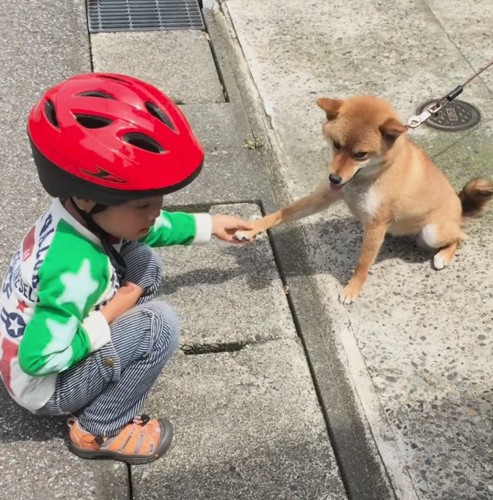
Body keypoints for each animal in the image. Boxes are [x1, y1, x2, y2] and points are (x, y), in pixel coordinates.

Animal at [235, 95, 492, 302]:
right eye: (336, 144)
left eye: (360, 154)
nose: (334, 178)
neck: (366, 178)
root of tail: (459, 209)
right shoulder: (323, 197)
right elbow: (282, 213)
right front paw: (252, 228)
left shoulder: (376, 224)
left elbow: (363, 263)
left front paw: (352, 289)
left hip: (432, 231)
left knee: (460, 237)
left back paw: (444, 256)